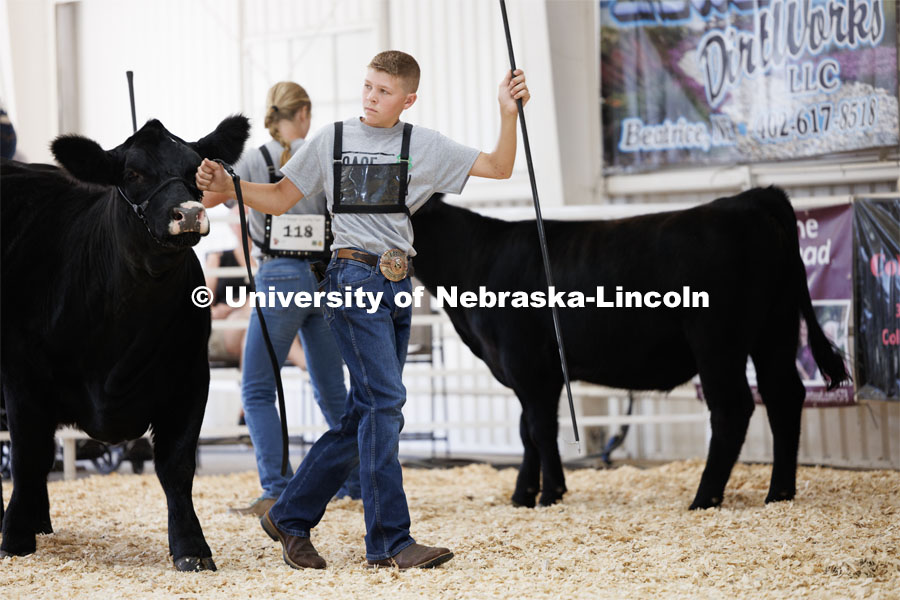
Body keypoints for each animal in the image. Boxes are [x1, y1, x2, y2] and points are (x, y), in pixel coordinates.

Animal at [0, 115, 250, 568]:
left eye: (196, 171)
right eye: (132, 174)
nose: (188, 213)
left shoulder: (191, 380)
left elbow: (176, 466)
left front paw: (191, 549)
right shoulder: (21, 379)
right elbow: (28, 458)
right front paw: (15, 539)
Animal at [412, 190, 848, 508]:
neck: (477, 261)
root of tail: (751, 198)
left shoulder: (527, 365)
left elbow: (539, 429)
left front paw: (550, 493)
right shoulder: (533, 373)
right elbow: (526, 432)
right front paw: (523, 494)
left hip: (717, 341)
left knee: (733, 408)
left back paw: (705, 498)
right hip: (776, 330)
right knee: (783, 396)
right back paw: (779, 494)